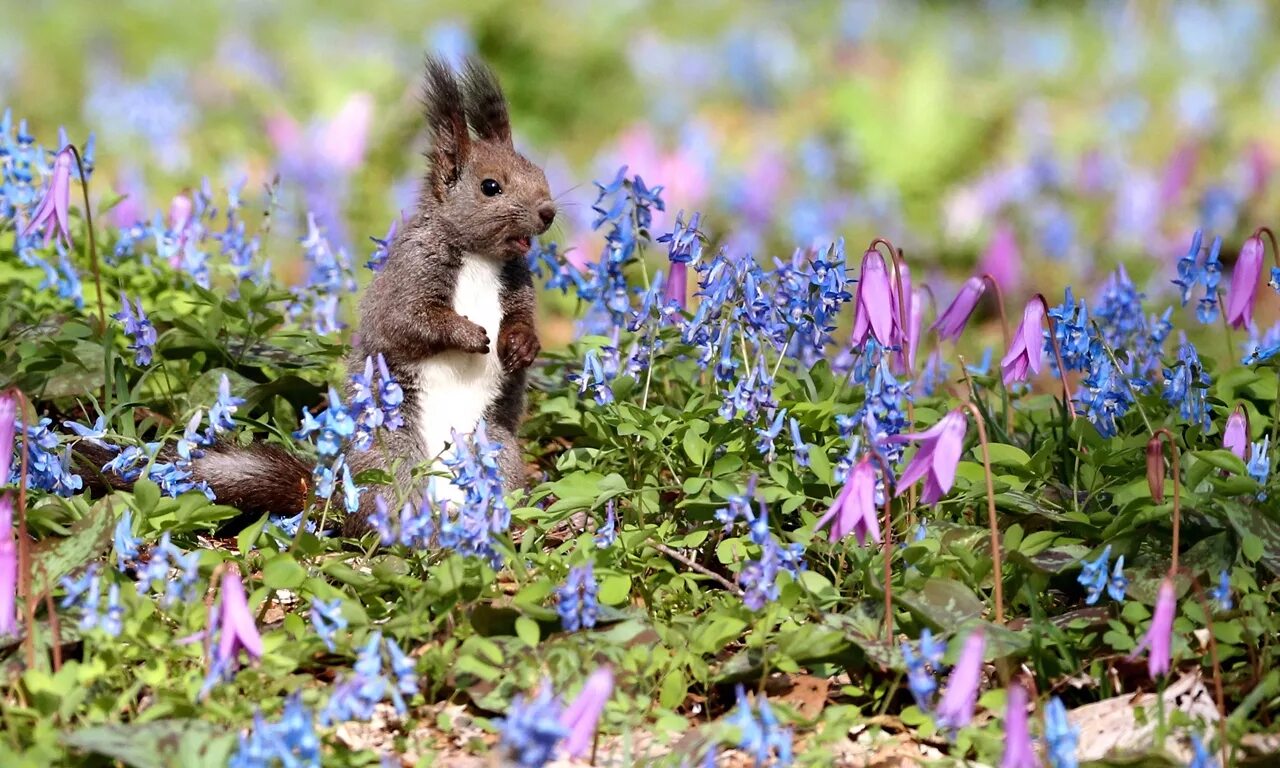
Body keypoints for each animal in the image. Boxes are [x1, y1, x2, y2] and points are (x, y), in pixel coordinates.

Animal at [80, 55, 555, 535]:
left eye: (540, 173)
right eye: (490, 186)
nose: (548, 212)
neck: (480, 258)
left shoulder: (515, 285)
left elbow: (521, 317)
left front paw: (522, 345)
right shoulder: (411, 275)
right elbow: (410, 321)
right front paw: (470, 335)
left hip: (496, 449)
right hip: (391, 455)